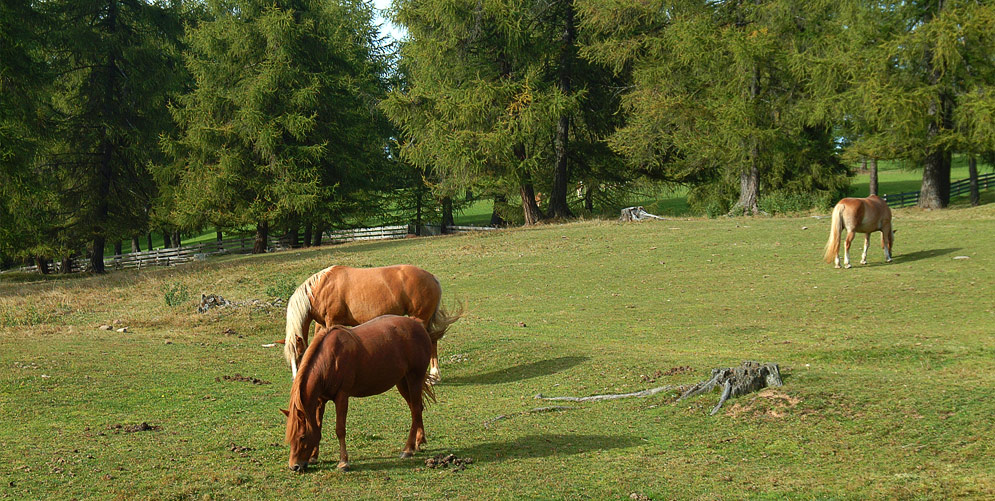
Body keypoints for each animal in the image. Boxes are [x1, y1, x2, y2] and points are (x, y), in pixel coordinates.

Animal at [282, 264, 462, 380]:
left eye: (299, 354)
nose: (295, 379)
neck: (321, 288)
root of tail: (431, 277)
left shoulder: (332, 321)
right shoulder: (321, 324)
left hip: (421, 317)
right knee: (433, 341)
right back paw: (434, 375)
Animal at [282, 314, 434, 470]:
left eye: (302, 437)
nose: (294, 466)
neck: (329, 360)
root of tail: (417, 324)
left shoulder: (342, 397)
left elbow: (340, 430)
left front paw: (343, 462)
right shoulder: (320, 400)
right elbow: (317, 427)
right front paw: (313, 456)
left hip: (414, 379)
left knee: (415, 410)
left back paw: (408, 449)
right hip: (402, 382)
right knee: (416, 409)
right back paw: (418, 442)